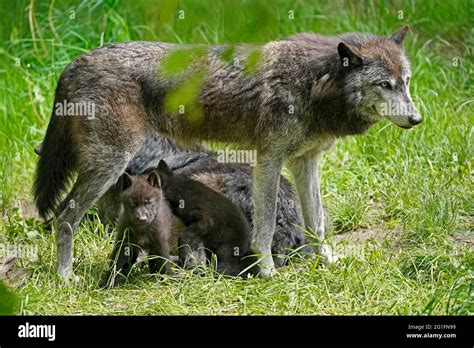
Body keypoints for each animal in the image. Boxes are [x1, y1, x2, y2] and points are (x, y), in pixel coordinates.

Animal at [34, 24, 422, 278]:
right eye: (384, 85)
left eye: (405, 82)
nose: (417, 119)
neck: (314, 84)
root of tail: (74, 63)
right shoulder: (268, 159)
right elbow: (265, 225)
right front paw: (267, 272)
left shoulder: (304, 162)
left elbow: (318, 222)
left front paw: (326, 261)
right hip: (108, 166)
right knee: (64, 217)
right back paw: (66, 278)